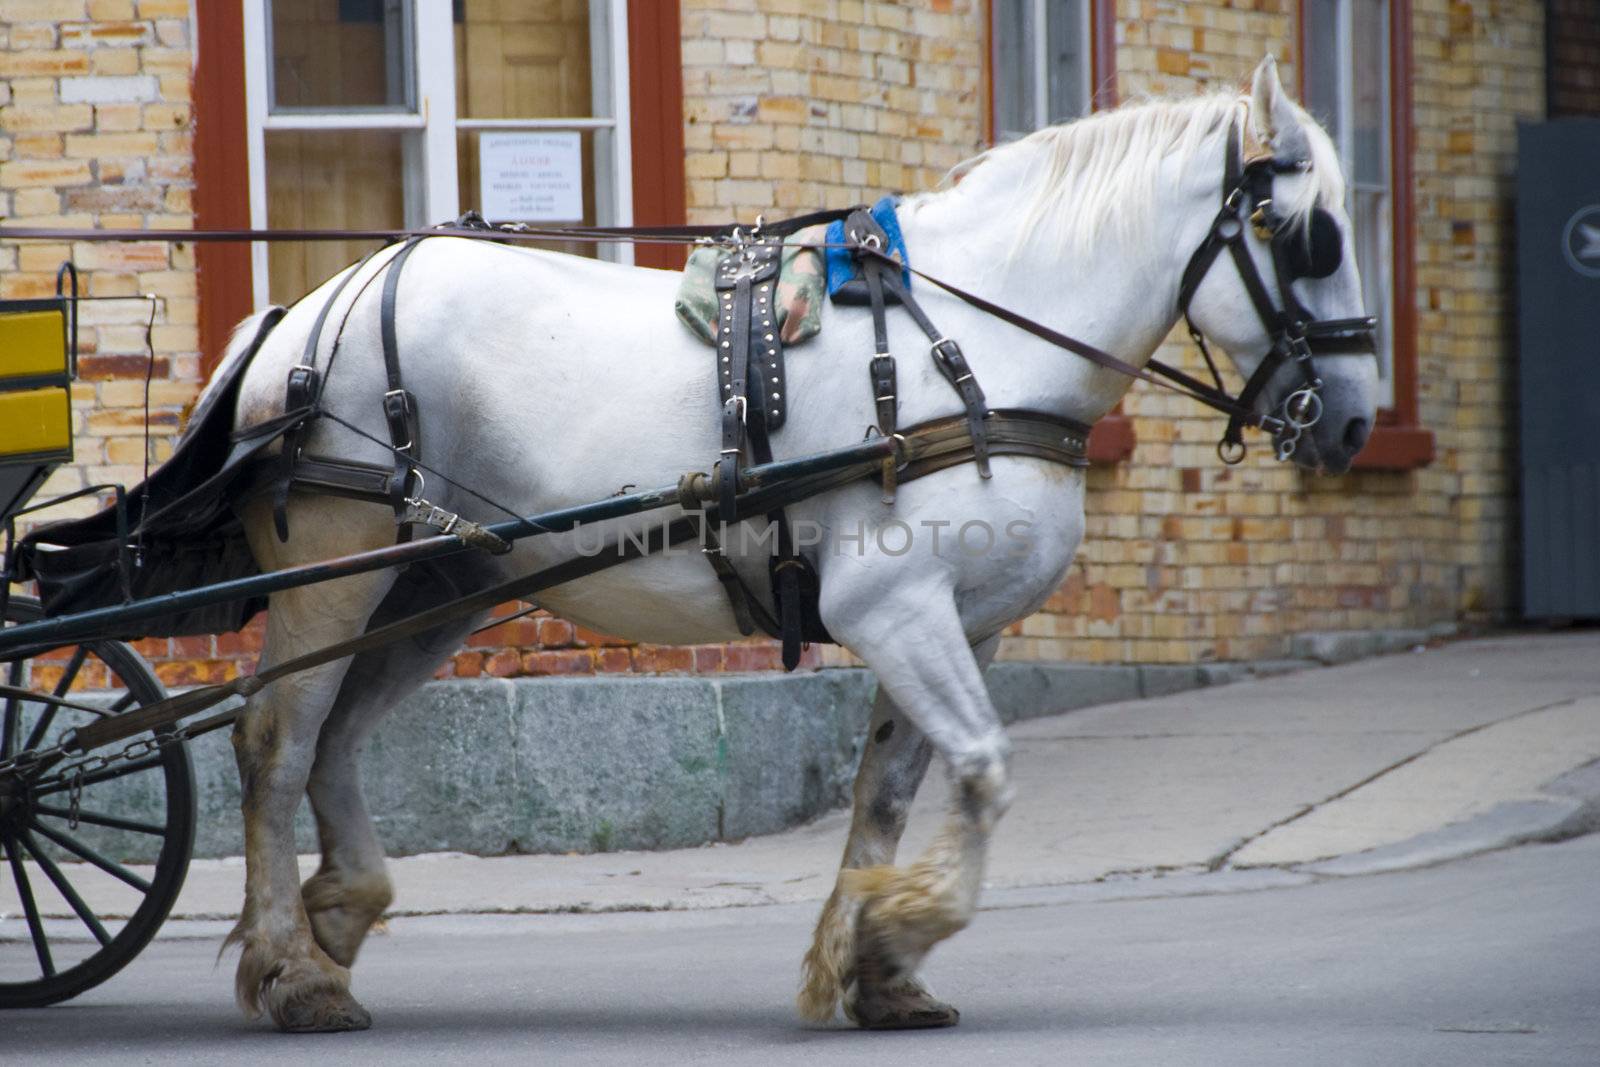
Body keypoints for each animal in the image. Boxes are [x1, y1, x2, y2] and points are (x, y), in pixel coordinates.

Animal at [222, 60, 1376, 1036]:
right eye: (1307, 235)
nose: (1357, 420)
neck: (974, 347)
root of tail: (308, 312)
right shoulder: (893, 605)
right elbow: (984, 769)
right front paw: (907, 924)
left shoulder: (965, 625)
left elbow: (890, 790)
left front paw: (874, 966)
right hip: (337, 570)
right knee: (277, 738)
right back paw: (292, 968)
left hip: (438, 584)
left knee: (336, 738)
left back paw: (340, 912)